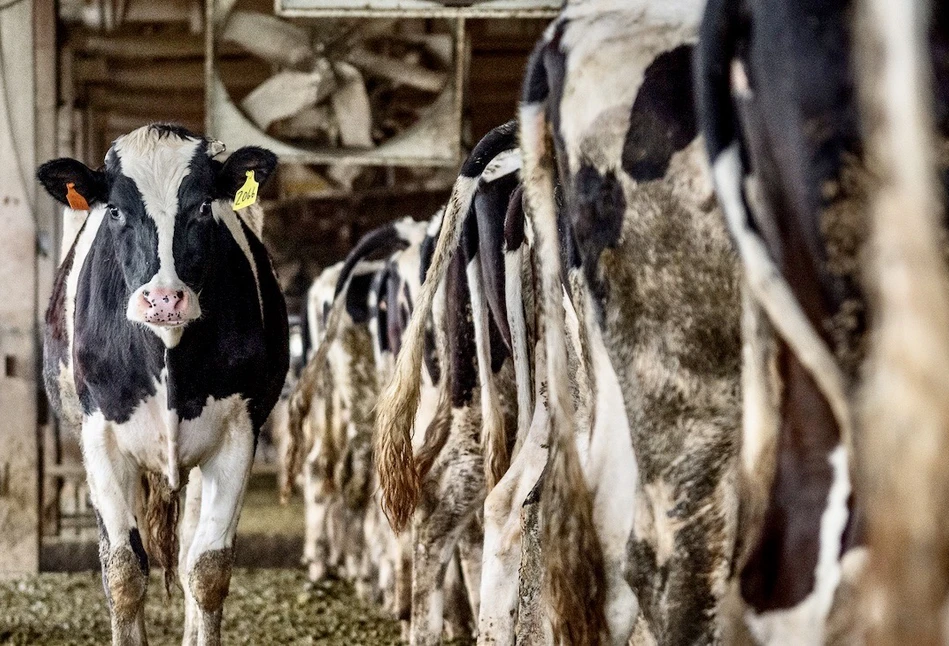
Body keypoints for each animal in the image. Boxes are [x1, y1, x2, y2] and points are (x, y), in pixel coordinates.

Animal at [38, 125, 288, 646]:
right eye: (115, 210)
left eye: (203, 206)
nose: (164, 299)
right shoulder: (101, 436)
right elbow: (124, 572)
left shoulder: (238, 433)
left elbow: (208, 570)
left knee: (191, 543)